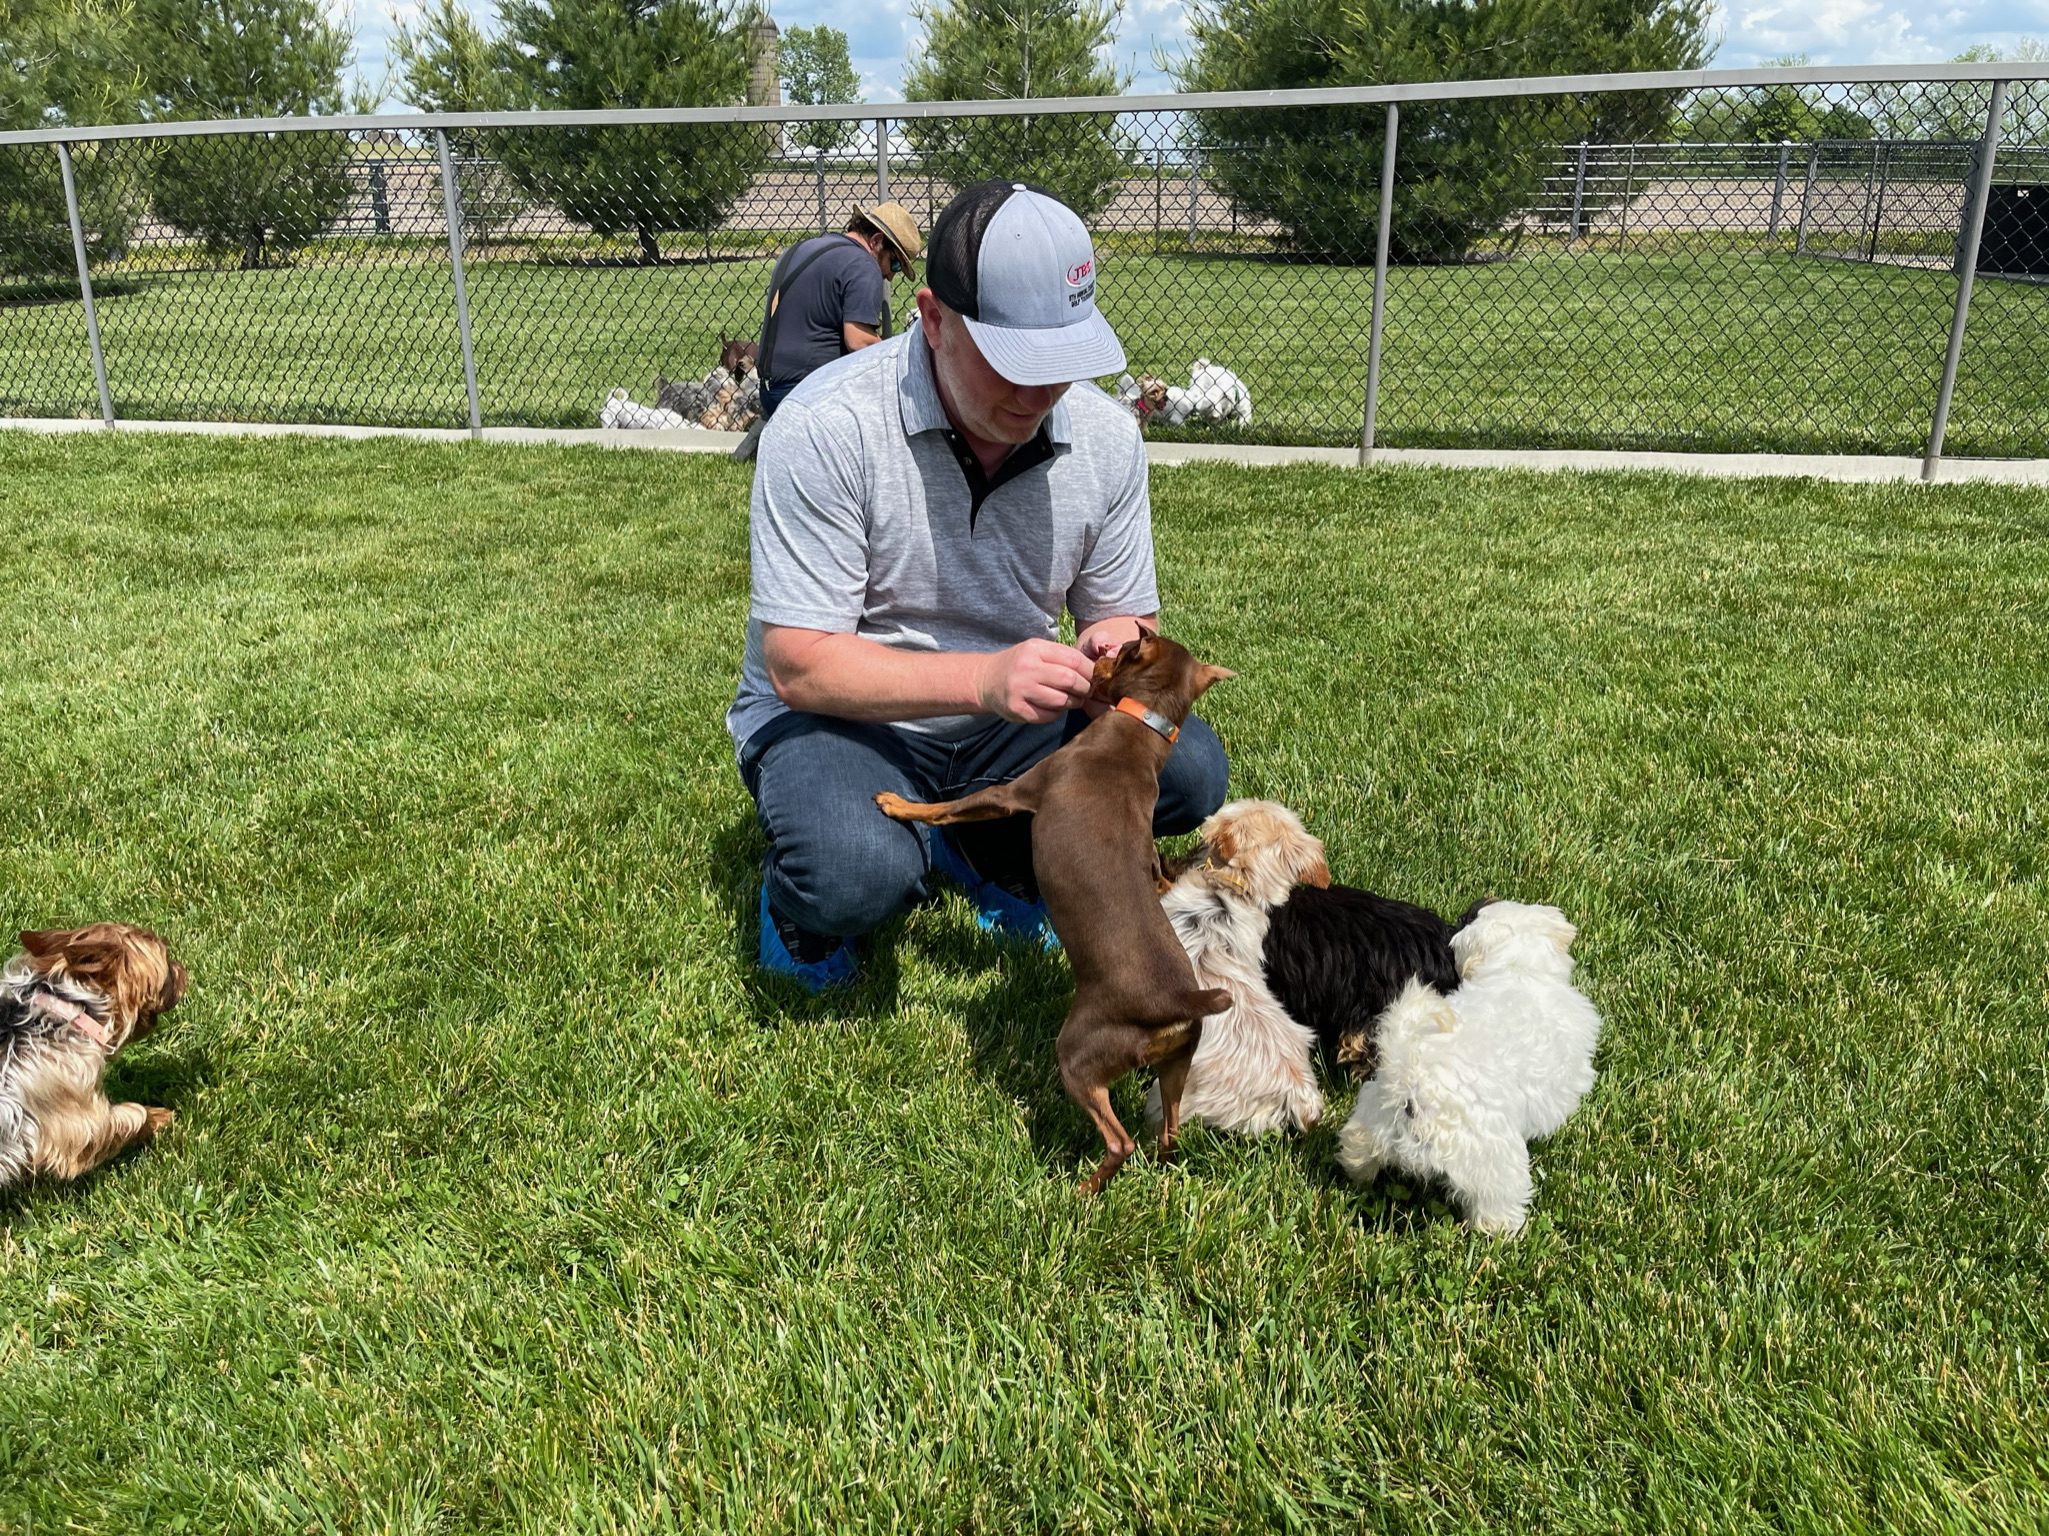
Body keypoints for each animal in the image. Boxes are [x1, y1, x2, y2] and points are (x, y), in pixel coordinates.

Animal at [1335, 901, 1606, 1236]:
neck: (1518, 969)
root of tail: (1413, 1086)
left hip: (1372, 1116)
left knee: (1358, 1146)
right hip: (1493, 1159)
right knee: (1495, 1199)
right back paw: (1500, 1230)